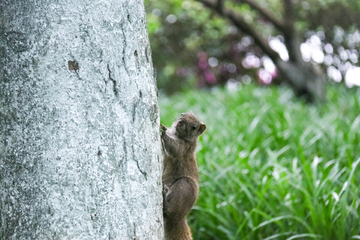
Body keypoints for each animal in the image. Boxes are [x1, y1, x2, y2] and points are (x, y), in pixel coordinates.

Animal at [160, 112, 205, 240]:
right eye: (182, 114)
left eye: (194, 127)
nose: (180, 122)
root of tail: (180, 218)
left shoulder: (184, 148)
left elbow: (175, 148)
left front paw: (163, 132)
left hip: (184, 188)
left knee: (169, 210)